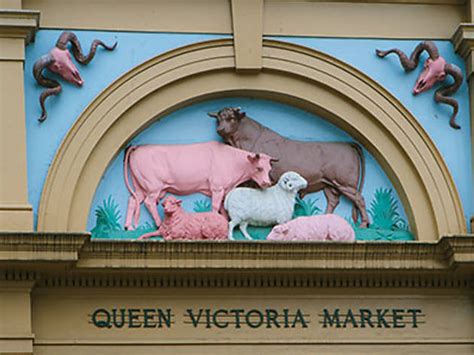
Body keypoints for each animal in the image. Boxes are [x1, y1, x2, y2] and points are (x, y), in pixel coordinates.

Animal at [124, 140, 274, 229]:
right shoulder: (217, 187)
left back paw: (128, 227)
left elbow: (222, 208)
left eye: (269, 169)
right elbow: (215, 206)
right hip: (153, 187)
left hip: (140, 187)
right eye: (259, 168)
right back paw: (159, 224)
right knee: (149, 203)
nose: (266, 183)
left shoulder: (224, 189)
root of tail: (139, 146)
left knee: (133, 200)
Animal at [210, 107, 370, 228]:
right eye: (219, 118)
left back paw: (364, 224)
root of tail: (347, 144)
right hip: (330, 185)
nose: (220, 128)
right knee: (333, 200)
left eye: (232, 118)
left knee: (359, 198)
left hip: (345, 183)